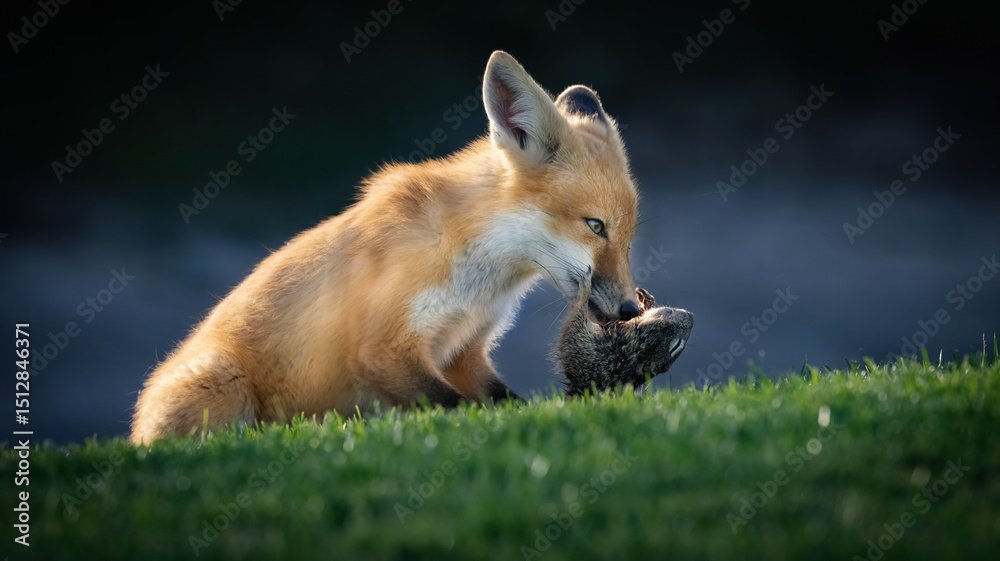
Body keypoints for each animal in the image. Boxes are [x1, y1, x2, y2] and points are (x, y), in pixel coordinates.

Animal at [130, 50, 642, 443]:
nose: (631, 310)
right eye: (595, 226)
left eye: (629, 236)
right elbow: (455, 406)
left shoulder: (464, 351)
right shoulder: (382, 347)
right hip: (223, 384)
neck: (476, 277)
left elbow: (506, 402)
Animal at [557, 270, 693, 396]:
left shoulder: (593, 356)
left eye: (676, 346)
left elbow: (573, 333)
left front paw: (585, 289)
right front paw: (646, 301)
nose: (691, 316)